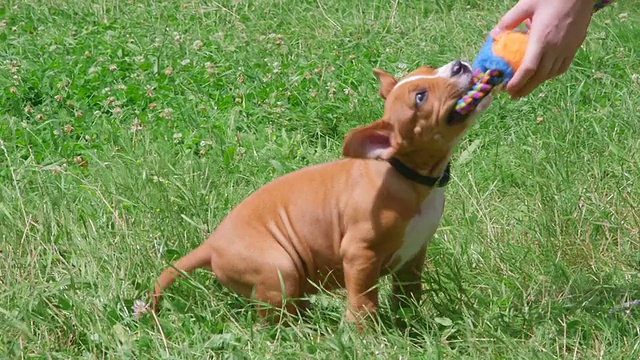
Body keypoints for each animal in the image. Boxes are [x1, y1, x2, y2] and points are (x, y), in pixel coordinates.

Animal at [152, 61, 492, 326]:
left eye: (429, 69)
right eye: (420, 96)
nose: (459, 65)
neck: (408, 177)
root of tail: (210, 245)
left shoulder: (413, 254)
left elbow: (408, 294)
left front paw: (411, 325)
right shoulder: (359, 254)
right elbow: (363, 301)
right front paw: (364, 336)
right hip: (279, 269)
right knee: (271, 322)